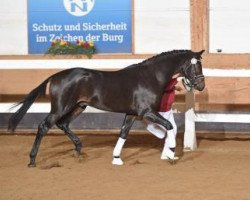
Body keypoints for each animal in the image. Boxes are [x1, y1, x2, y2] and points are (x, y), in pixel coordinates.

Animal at [7, 49, 205, 166]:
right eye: (195, 66)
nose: (201, 86)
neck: (150, 76)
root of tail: (55, 76)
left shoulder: (132, 113)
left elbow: (123, 133)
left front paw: (116, 159)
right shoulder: (146, 112)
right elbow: (169, 126)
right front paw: (171, 154)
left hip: (79, 106)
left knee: (63, 124)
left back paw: (79, 151)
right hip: (60, 108)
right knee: (44, 126)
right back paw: (32, 160)